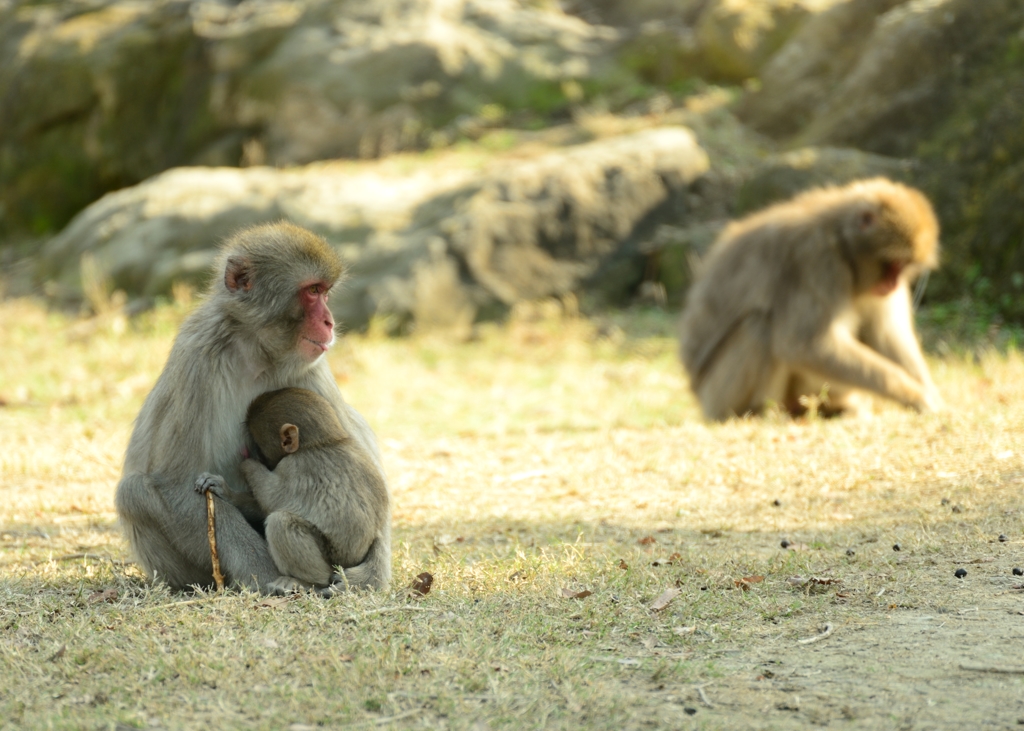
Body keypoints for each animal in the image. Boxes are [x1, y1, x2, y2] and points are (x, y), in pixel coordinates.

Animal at [192, 384, 387, 589]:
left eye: (258, 446)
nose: (253, 452)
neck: (325, 441)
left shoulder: (293, 467)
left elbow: (271, 498)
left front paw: (247, 465)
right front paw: (226, 491)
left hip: (331, 556)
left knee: (281, 522)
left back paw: (308, 581)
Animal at [679, 176, 942, 421]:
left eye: (904, 266)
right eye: (893, 264)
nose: (893, 284)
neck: (842, 243)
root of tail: (698, 395)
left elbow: (885, 333)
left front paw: (926, 391)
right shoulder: (815, 259)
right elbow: (805, 344)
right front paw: (916, 396)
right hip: (718, 396)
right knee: (760, 326)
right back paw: (761, 412)